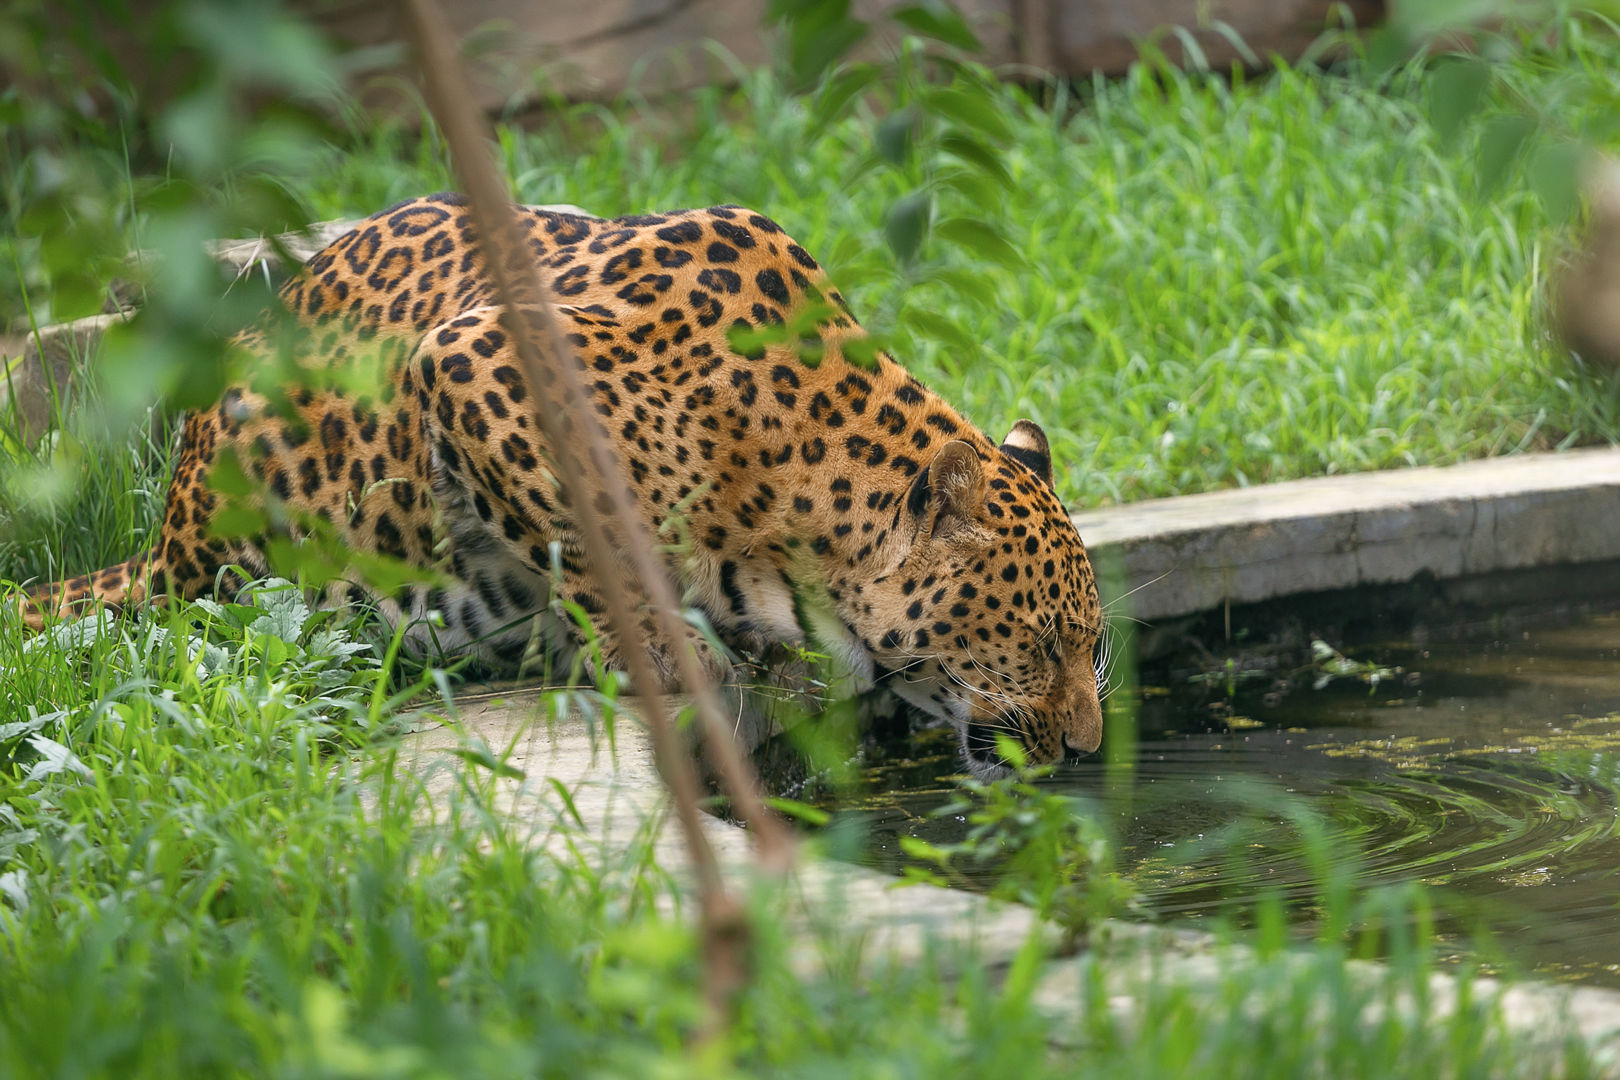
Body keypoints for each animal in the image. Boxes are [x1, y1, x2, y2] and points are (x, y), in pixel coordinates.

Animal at [20, 192, 1106, 773]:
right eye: (1042, 641)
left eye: (1091, 646)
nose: (1091, 750)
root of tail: (168, 533)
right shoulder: (474, 360)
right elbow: (594, 534)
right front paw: (672, 651)